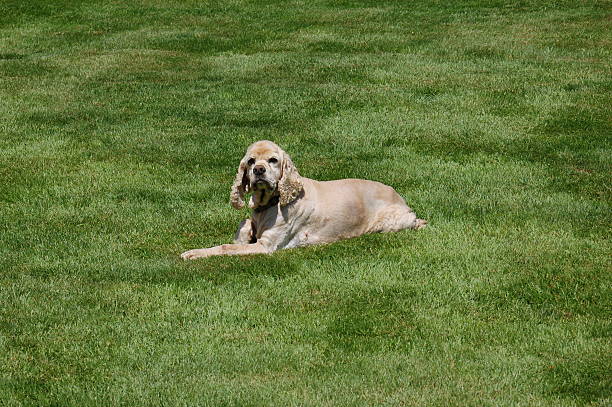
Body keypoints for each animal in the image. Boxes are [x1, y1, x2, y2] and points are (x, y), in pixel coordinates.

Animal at [179, 140, 424, 260]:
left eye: (273, 160)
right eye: (250, 161)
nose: (259, 170)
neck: (269, 204)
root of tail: (402, 200)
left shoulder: (266, 246)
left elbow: (225, 248)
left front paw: (193, 253)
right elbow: (243, 227)